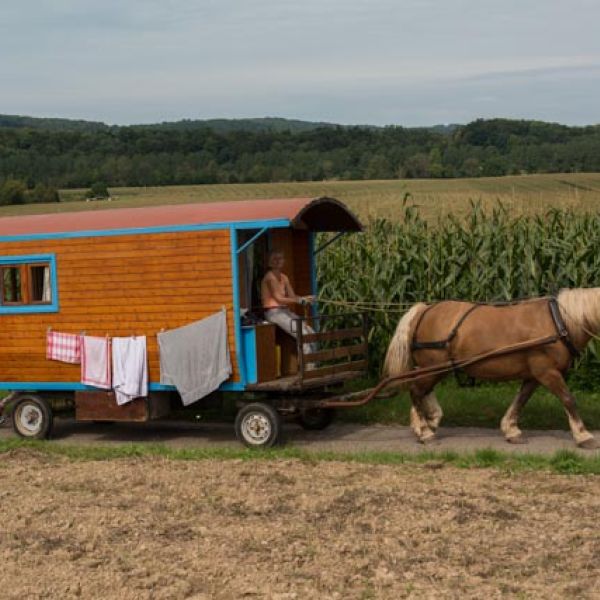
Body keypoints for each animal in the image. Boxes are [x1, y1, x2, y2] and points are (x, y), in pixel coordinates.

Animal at [382, 288, 600, 448]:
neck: (559, 321)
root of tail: (424, 310)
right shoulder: (547, 372)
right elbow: (568, 399)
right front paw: (584, 436)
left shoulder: (534, 375)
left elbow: (520, 400)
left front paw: (511, 430)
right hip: (433, 365)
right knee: (416, 390)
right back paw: (425, 430)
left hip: (435, 368)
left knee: (423, 391)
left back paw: (429, 421)